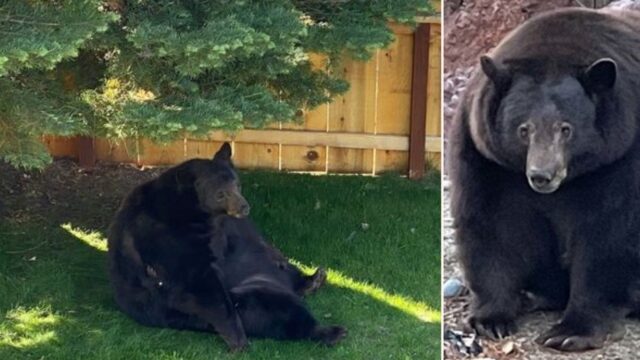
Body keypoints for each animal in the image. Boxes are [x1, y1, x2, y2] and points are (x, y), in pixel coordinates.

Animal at [107, 143, 348, 348]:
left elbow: (245, 241)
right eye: (220, 193)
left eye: (237, 184)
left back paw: (313, 281)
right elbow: (196, 280)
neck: (192, 213)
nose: (243, 207)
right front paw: (237, 338)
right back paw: (330, 331)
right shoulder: (165, 236)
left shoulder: (225, 227)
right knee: (280, 311)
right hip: (248, 300)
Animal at [448, 7, 640, 352]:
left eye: (566, 129)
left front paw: (569, 331)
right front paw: (492, 318)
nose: (541, 176)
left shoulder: (623, 155)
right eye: (524, 129)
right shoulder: (488, 158)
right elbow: (491, 224)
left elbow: (611, 233)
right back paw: (532, 295)